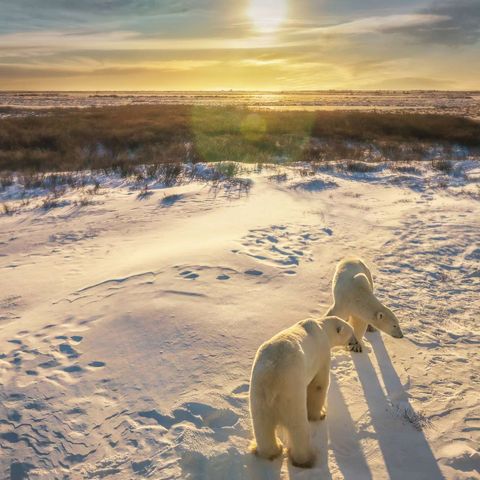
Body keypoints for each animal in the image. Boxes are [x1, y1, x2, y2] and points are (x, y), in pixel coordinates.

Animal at [249, 316, 354, 466]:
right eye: (351, 333)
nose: (354, 343)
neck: (322, 327)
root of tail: (272, 381)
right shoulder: (322, 353)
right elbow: (318, 385)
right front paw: (319, 415)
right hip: (291, 392)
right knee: (298, 427)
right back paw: (306, 458)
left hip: (258, 394)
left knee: (262, 426)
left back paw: (272, 450)